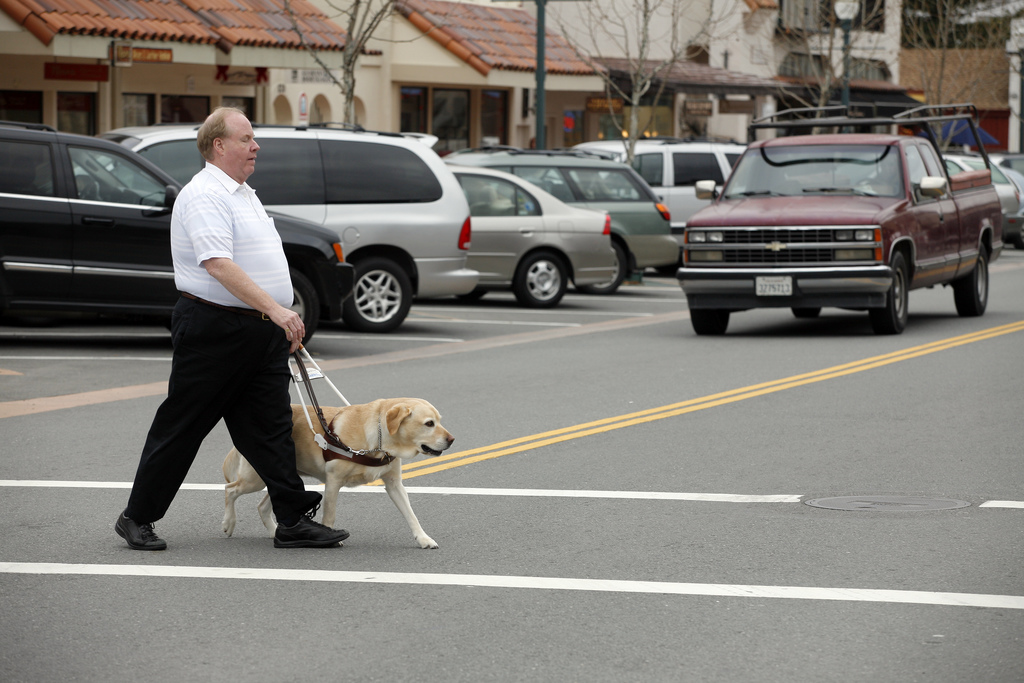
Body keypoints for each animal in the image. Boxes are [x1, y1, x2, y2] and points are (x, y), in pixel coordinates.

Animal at [226, 401, 454, 548]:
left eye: (439, 420)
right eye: (429, 423)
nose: (452, 440)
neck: (379, 441)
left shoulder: (394, 484)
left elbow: (411, 514)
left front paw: (423, 538)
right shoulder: (333, 481)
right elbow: (330, 515)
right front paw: (329, 537)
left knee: (264, 505)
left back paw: (276, 532)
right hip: (252, 479)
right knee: (230, 489)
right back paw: (228, 523)